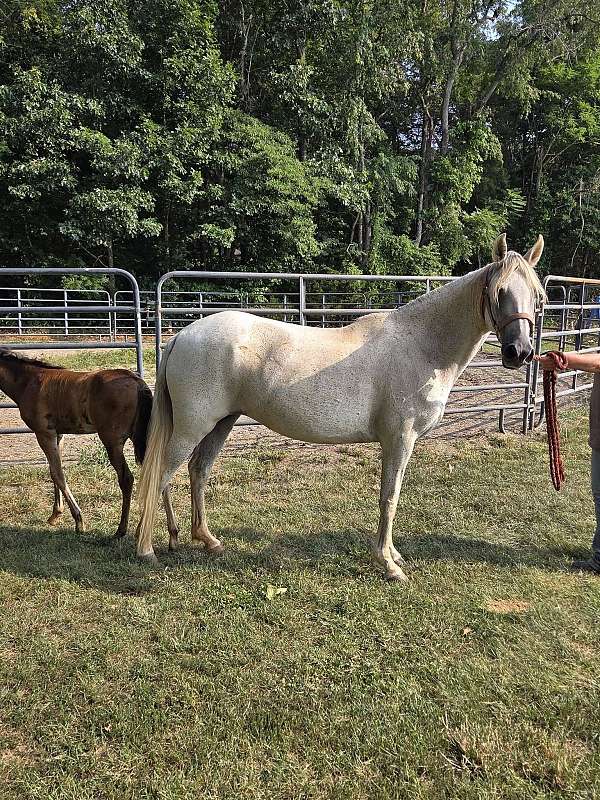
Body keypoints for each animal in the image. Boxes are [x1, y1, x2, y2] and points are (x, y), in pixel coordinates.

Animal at [0, 350, 179, 541]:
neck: (28, 381)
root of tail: (137, 383)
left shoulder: (44, 434)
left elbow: (58, 474)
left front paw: (78, 521)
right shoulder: (58, 435)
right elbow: (53, 471)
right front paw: (55, 514)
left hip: (112, 442)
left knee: (127, 479)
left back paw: (121, 530)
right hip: (143, 437)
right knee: (158, 473)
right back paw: (168, 534)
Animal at [136, 233, 545, 580]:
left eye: (537, 297)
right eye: (500, 291)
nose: (519, 352)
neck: (421, 346)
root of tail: (182, 336)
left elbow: (391, 497)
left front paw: (393, 556)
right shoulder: (399, 439)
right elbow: (389, 497)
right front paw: (388, 564)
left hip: (222, 423)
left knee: (196, 471)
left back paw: (199, 539)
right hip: (193, 426)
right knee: (162, 474)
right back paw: (148, 549)